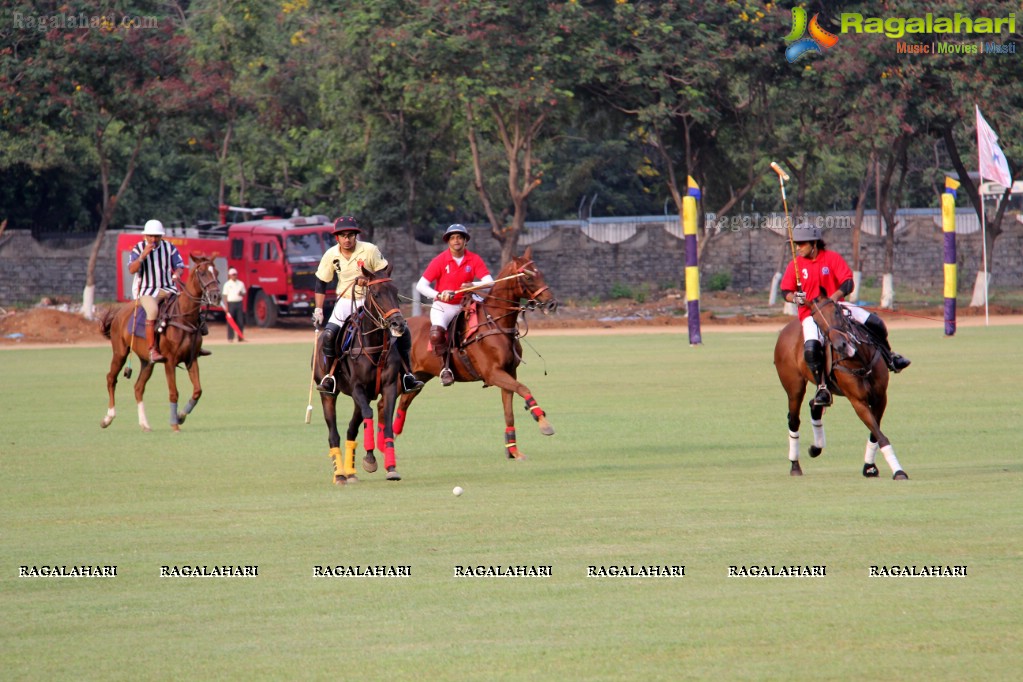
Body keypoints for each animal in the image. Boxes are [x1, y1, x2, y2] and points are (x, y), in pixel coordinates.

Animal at [100, 253, 220, 435]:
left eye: (217, 272)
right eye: (203, 272)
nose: (216, 296)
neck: (185, 317)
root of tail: (120, 312)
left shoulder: (191, 359)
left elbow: (197, 391)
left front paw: (181, 416)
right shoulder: (170, 361)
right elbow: (173, 392)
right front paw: (174, 424)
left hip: (147, 361)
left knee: (138, 387)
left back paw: (145, 424)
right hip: (120, 352)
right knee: (111, 378)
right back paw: (108, 418)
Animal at [310, 263, 407, 484]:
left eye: (396, 292)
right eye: (377, 294)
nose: (398, 324)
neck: (375, 345)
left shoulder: (388, 387)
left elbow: (386, 421)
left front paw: (391, 467)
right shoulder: (357, 387)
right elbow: (370, 414)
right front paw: (370, 459)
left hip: (359, 399)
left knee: (351, 429)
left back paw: (351, 472)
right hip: (327, 394)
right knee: (334, 434)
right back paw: (339, 474)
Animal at [394, 248, 560, 462]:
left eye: (540, 274)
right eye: (528, 278)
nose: (552, 304)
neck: (495, 323)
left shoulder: (508, 373)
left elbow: (509, 412)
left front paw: (513, 451)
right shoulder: (493, 373)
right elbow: (524, 389)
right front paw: (544, 424)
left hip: (419, 378)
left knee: (403, 403)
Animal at [769, 296, 908, 480]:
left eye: (836, 312)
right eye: (817, 321)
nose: (841, 345)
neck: (860, 360)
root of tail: (785, 329)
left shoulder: (880, 398)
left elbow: (875, 433)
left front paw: (870, 467)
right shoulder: (858, 401)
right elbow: (879, 434)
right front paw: (898, 471)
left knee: (815, 404)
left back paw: (816, 447)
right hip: (794, 388)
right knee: (794, 419)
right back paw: (795, 465)